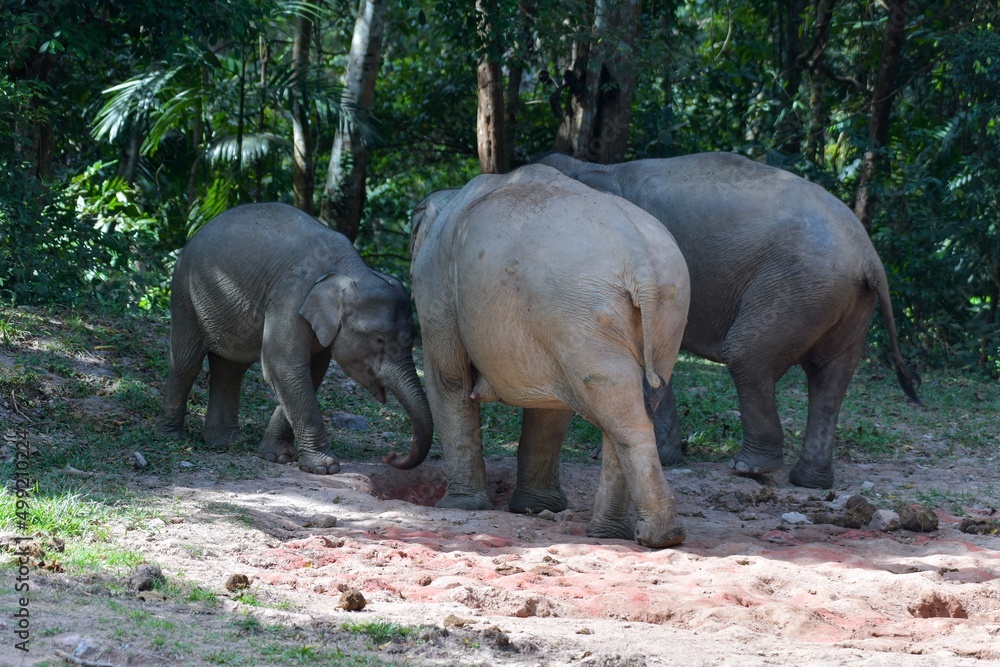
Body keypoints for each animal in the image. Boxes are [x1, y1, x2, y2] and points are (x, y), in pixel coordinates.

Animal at [154, 202, 433, 474]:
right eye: (379, 340)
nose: (392, 456)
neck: (349, 271)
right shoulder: (290, 297)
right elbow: (284, 367)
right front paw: (324, 468)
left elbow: (309, 371)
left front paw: (275, 456)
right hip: (185, 293)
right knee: (187, 362)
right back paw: (171, 437)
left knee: (230, 369)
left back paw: (227, 442)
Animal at [410, 164, 691, 548]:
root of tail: (641, 262)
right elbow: (551, 409)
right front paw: (533, 508)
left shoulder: (434, 284)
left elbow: (448, 378)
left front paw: (459, 507)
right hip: (662, 315)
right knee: (626, 403)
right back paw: (616, 535)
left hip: (584, 314)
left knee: (617, 409)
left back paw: (654, 537)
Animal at [537, 152, 920, 489]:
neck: (595, 168)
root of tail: (869, 257)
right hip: (844, 301)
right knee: (829, 377)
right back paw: (809, 482)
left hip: (799, 286)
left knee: (748, 355)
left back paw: (750, 468)